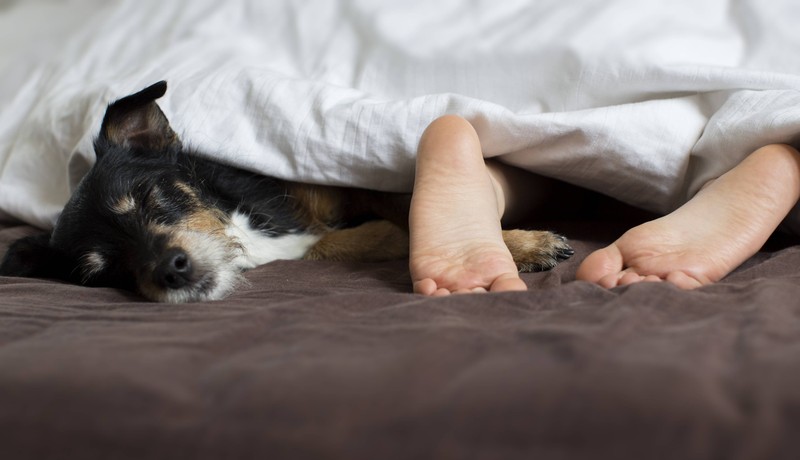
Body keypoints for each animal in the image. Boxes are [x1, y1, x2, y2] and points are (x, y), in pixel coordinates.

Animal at [1, 82, 576, 304]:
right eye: (100, 272)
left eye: (148, 196)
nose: (170, 270)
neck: (241, 228)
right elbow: (355, 238)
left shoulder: (343, 181)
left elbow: (404, 201)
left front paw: (519, 244)